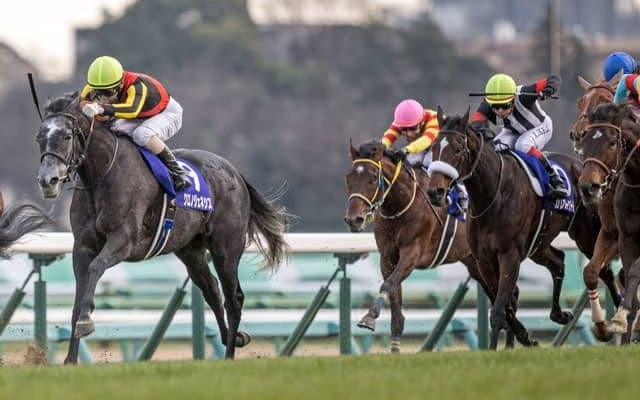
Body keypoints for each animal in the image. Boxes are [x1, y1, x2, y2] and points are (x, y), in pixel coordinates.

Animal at [35, 92, 288, 362]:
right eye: (40, 138)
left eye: (67, 136)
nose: (47, 181)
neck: (103, 175)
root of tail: (236, 174)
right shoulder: (82, 246)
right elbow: (78, 297)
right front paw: (70, 359)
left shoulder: (124, 241)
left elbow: (95, 268)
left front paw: (85, 321)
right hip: (191, 252)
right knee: (212, 292)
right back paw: (229, 338)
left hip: (226, 249)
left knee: (234, 298)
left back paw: (229, 354)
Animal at [344, 140, 538, 350]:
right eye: (349, 177)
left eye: (373, 178)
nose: (353, 219)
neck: (401, 205)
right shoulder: (387, 258)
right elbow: (395, 305)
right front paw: (393, 347)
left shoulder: (413, 253)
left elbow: (388, 284)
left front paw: (369, 317)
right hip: (475, 263)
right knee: (506, 294)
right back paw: (520, 337)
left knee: (508, 294)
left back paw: (515, 341)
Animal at [426, 107, 606, 349]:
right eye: (434, 148)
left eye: (457, 149)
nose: (434, 192)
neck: (493, 195)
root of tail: (581, 167)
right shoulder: (484, 260)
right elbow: (505, 306)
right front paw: (525, 337)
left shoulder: (509, 255)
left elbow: (498, 311)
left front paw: (496, 348)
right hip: (539, 244)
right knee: (558, 261)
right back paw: (559, 314)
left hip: (586, 235)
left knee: (604, 271)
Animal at [577, 102, 640, 343]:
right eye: (584, 141)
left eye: (612, 143)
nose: (588, 187)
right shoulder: (620, 236)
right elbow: (591, 271)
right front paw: (604, 326)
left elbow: (634, 272)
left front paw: (620, 317)